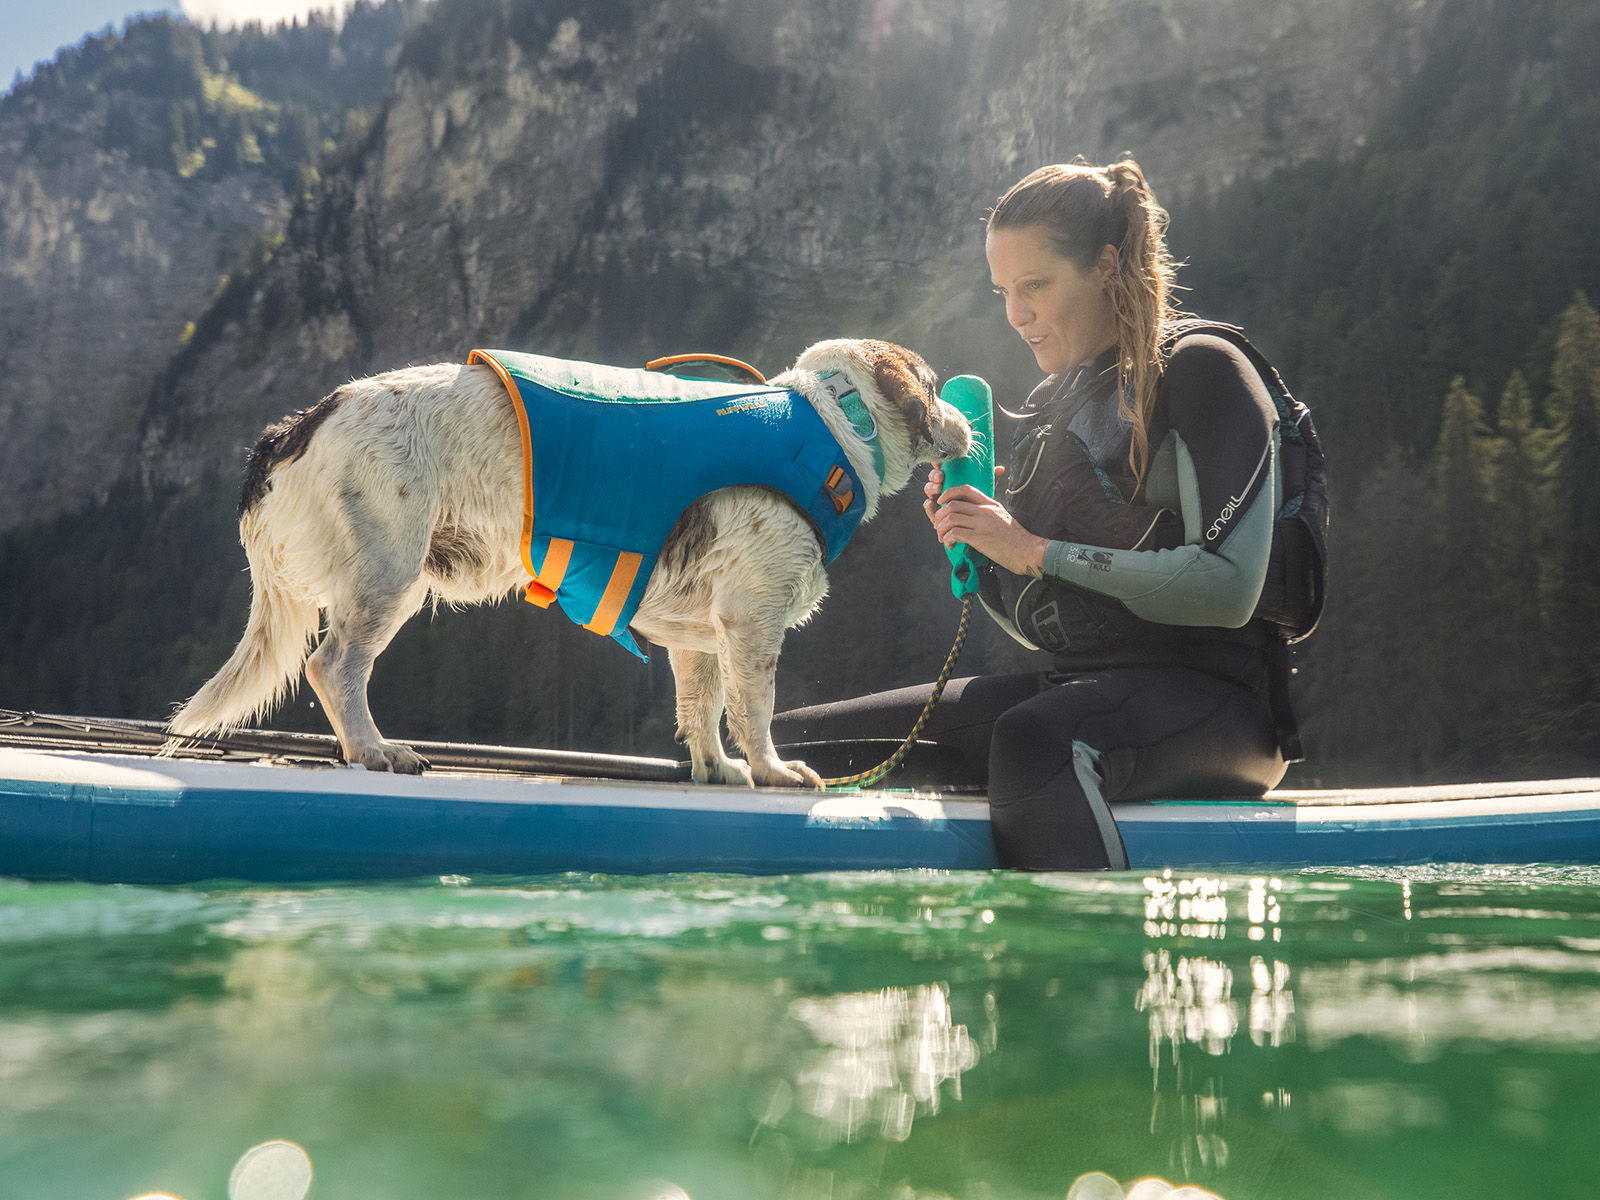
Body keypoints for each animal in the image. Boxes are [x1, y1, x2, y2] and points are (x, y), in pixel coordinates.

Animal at [168, 339, 966, 790]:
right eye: (934, 386)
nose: (966, 419)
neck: (833, 424)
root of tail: (300, 423)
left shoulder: (700, 637)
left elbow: (703, 710)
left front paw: (717, 769)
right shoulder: (753, 621)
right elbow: (755, 709)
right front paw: (773, 770)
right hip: (386, 578)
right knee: (332, 667)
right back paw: (375, 751)